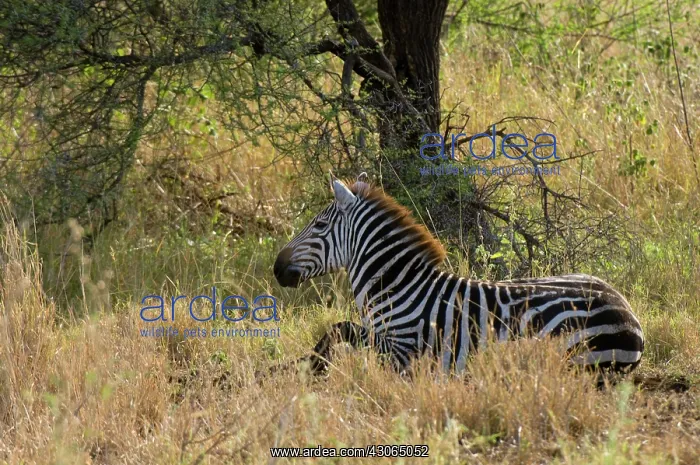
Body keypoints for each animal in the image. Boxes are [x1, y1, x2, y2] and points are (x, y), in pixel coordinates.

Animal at [273, 173, 644, 376]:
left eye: (319, 225)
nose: (277, 269)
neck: (399, 287)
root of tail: (627, 310)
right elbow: (336, 330)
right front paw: (301, 367)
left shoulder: (402, 351)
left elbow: (339, 331)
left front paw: (308, 369)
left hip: (578, 360)